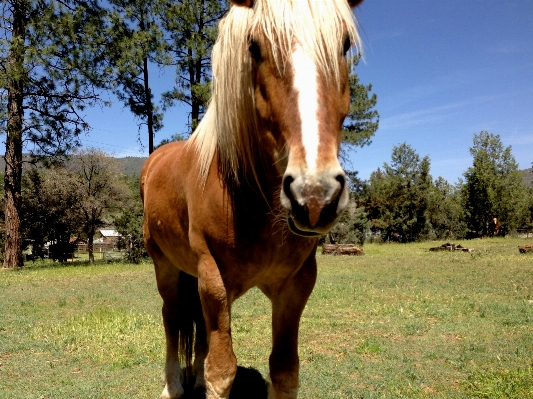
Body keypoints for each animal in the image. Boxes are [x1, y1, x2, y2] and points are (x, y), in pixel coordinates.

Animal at [141, 1, 364, 398]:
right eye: (255, 47)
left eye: (345, 44)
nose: (314, 194)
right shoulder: (212, 278)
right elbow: (222, 371)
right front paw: (202, 380)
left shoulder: (296, 284)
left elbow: (284, 370)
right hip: (164, 265)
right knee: (171, 318)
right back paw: (173, 386)